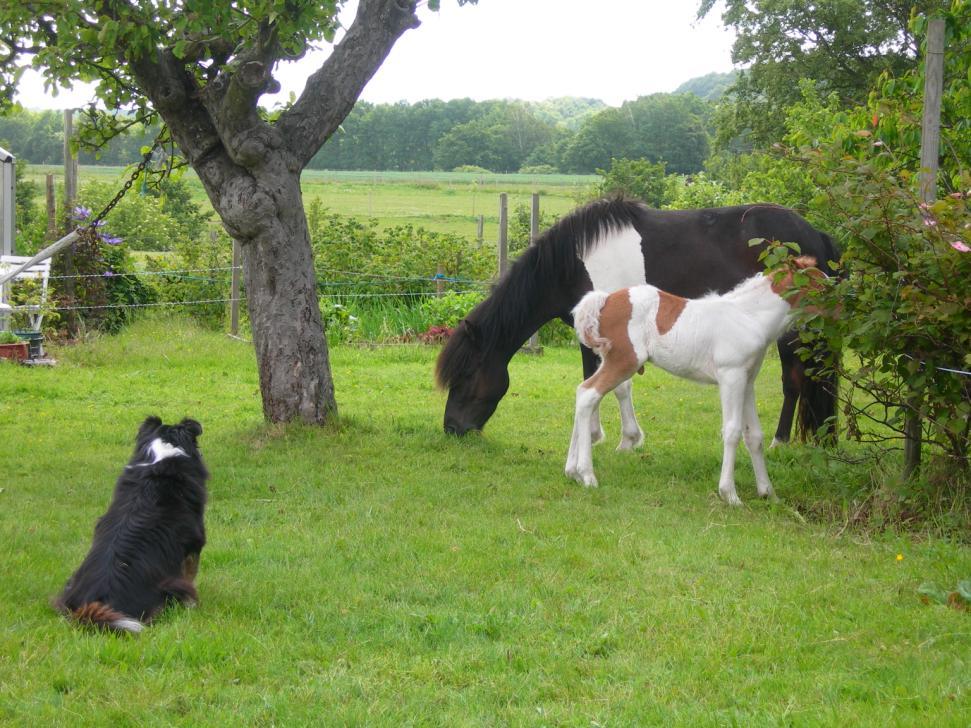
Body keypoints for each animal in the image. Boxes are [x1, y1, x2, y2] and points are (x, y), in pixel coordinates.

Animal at [56, 418, 210, 636]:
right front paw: (194, 607)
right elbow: (191, 575)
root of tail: (92, 607)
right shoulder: (194, 543)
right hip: (169, 585)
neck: (162, 455)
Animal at [436, 196, 840, 440]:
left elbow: (618, 385)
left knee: (794, 382)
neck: (573, 263)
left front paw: (620, 438)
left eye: (467, 374)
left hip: (795, 332)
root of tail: (815, 233)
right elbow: (594, 379)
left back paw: (779, 442)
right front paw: (596, 435)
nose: (452, 427)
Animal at [564, 258, 824, 506]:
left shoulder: (747, 382)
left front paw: (768, 493)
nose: (836, 307)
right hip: (624, 361)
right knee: (589, 394)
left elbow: (755, 437)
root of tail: (605, 299)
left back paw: (572, 471)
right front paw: (730, 495)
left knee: (583, 393)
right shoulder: (731, 377)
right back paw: (587, 475)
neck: (749, 317)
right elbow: (732, 431)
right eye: (819, 285)